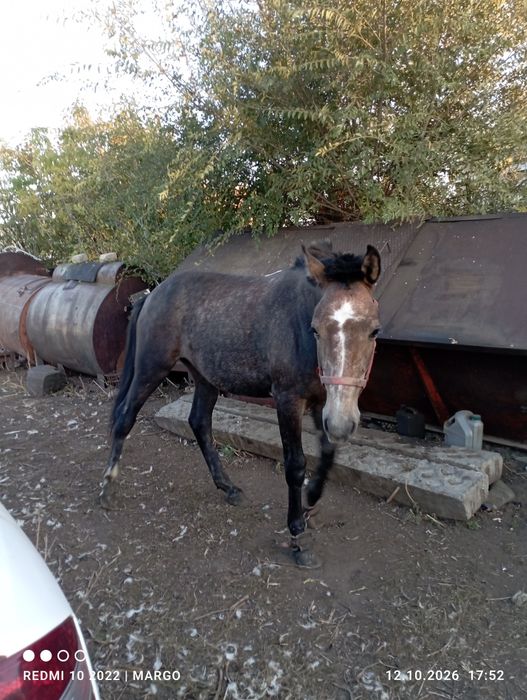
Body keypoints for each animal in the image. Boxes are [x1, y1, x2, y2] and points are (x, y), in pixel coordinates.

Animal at [101, 242, 381, 567]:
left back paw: (229, 488)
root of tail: (151, 296)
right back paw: (107, 488)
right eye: (315, 329)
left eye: (374, 330)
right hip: (151, 368)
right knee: (125, 418)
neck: (298, 320)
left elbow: (327, 455)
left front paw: (311, 499)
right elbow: (295, 465)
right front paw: (297, 536)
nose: (342, 424)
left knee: (199, 423)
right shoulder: (288, 400)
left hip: (205, 378)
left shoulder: (324, 402)